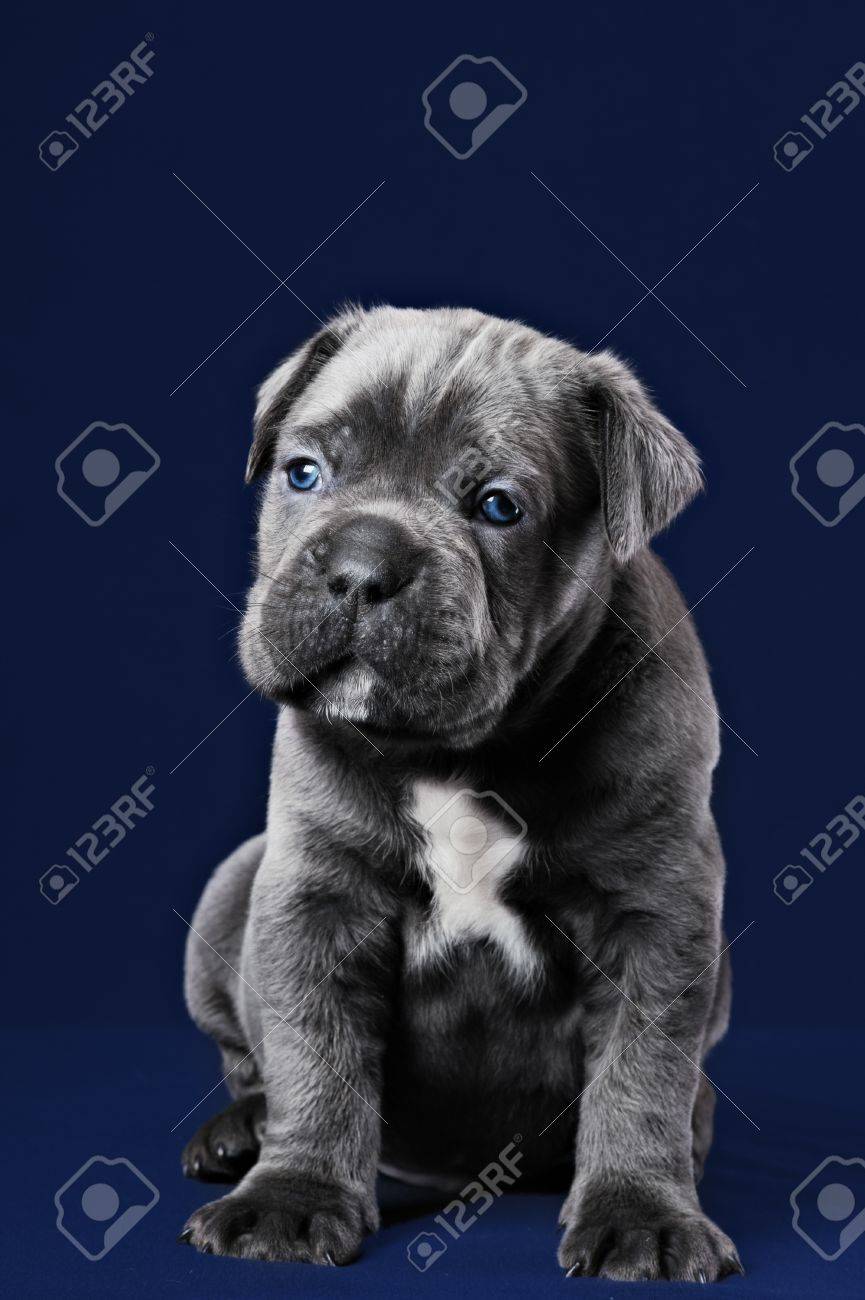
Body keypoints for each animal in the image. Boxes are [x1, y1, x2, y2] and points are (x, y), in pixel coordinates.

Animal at [176, 301, 744, 1279]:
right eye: (302, 472)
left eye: (497, 506)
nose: (360, 565)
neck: (460, 753)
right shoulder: (315, 896)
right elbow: (313, 1052)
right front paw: (293, 1197)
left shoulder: (656, 913)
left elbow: (641, 1072)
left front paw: (640, 1214)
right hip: (231, 888)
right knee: (251, 1057)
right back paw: (239, 1133)